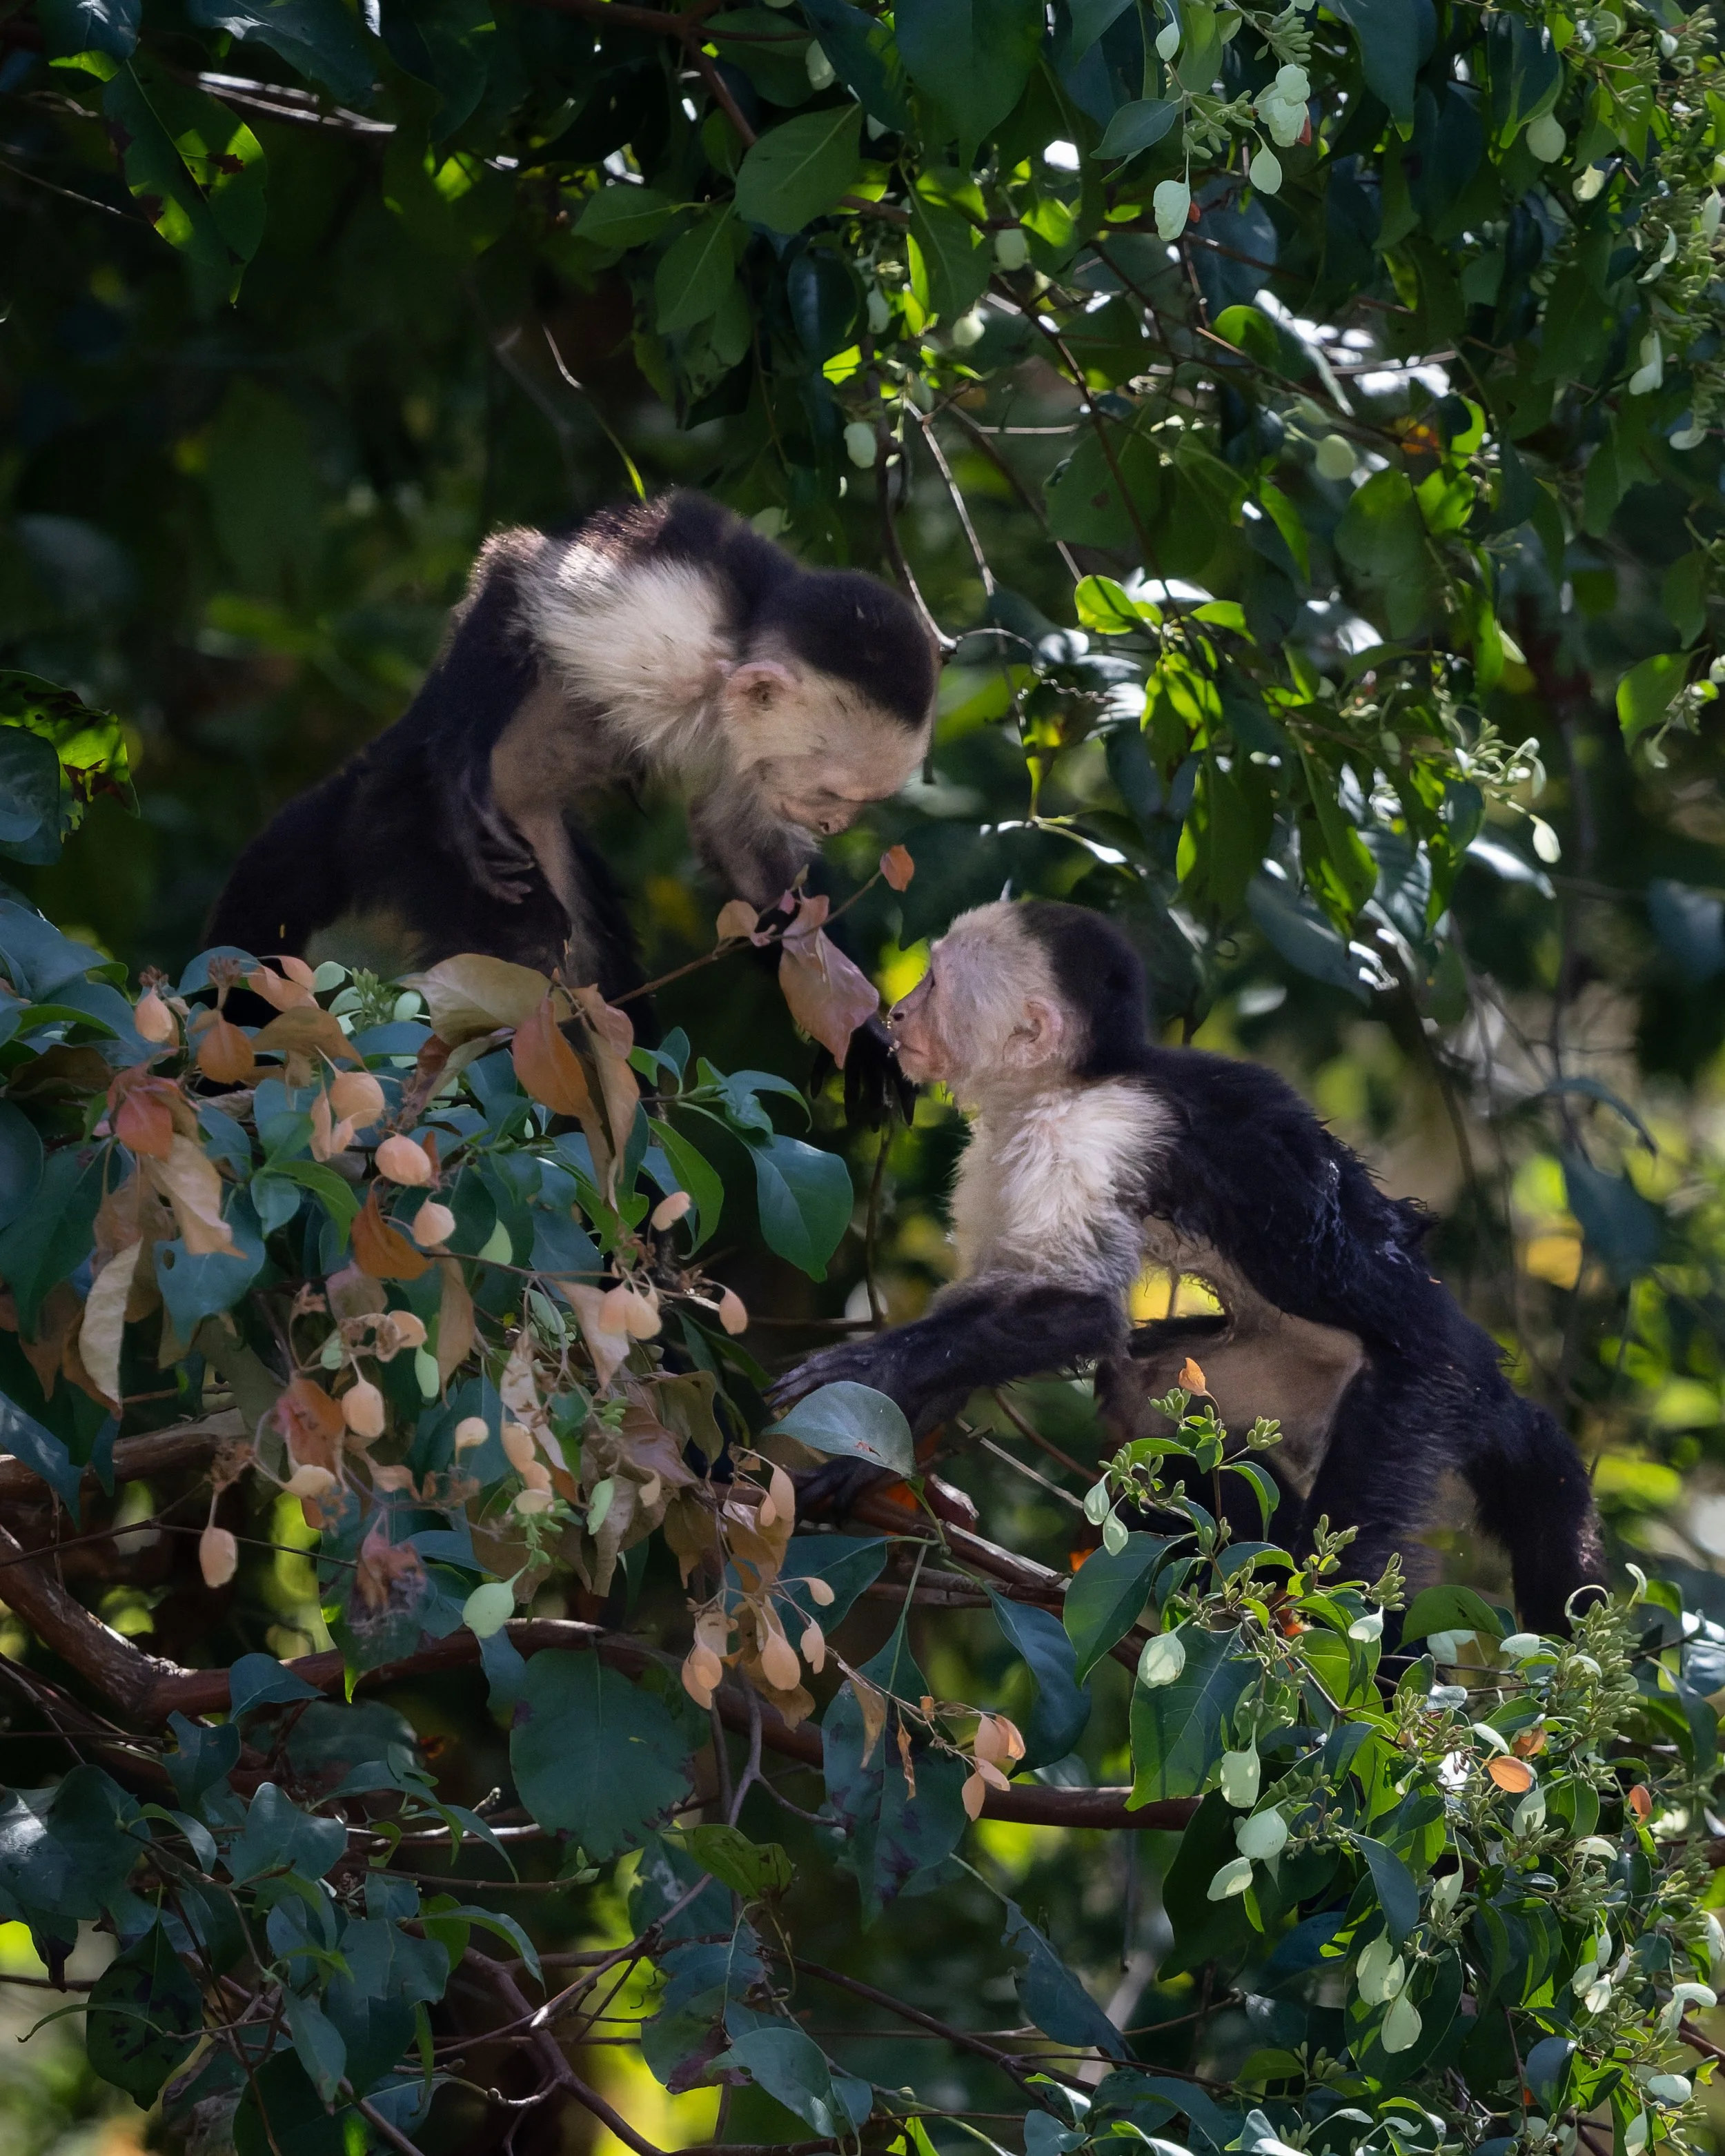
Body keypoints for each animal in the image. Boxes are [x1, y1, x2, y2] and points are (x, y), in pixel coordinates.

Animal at [206, 491, 937, 1119]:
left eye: (858, 803)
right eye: (832, 794)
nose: (835, 823)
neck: (733, 652)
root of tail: (385, 767)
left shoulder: (746, 751)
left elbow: (744, 855)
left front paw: (866, 1035)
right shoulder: (665, 634)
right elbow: (515, 569)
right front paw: (460, 768)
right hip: (419, 830)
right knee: (530, 952)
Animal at [770, 898, 1604, 1634]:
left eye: (936, 983)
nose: (895, 1016)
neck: (1071, 1082)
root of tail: (1477, 1361)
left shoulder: (1084, 1135)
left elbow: (1080, 1310)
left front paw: (870, 1364)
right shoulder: (999, 1149)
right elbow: (998, 1305)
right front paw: (873, 1456)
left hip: (1423, 1390)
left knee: (1354, 1546)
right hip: (1294, 1371)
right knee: (1148, 1396)